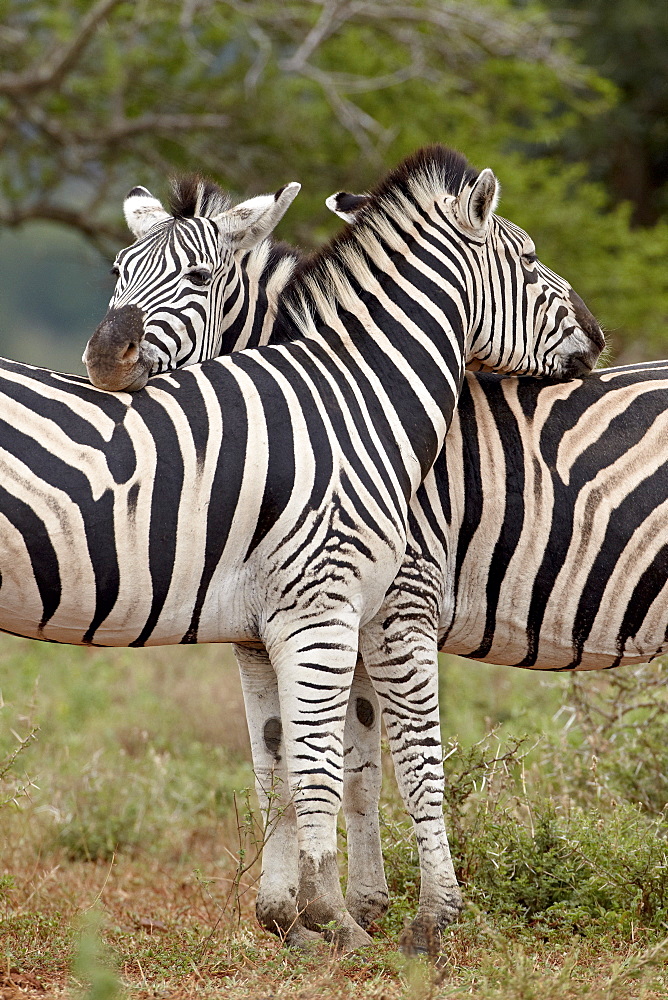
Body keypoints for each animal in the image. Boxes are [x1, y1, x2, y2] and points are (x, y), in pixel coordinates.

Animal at [81, 145, 604, 948]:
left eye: (197, 277)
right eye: (116, 272)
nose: (106, 358)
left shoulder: (377, 607)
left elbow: (361, 762)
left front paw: (352, 911)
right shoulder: (289, 618)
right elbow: (313, 764)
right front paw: (328, 911)